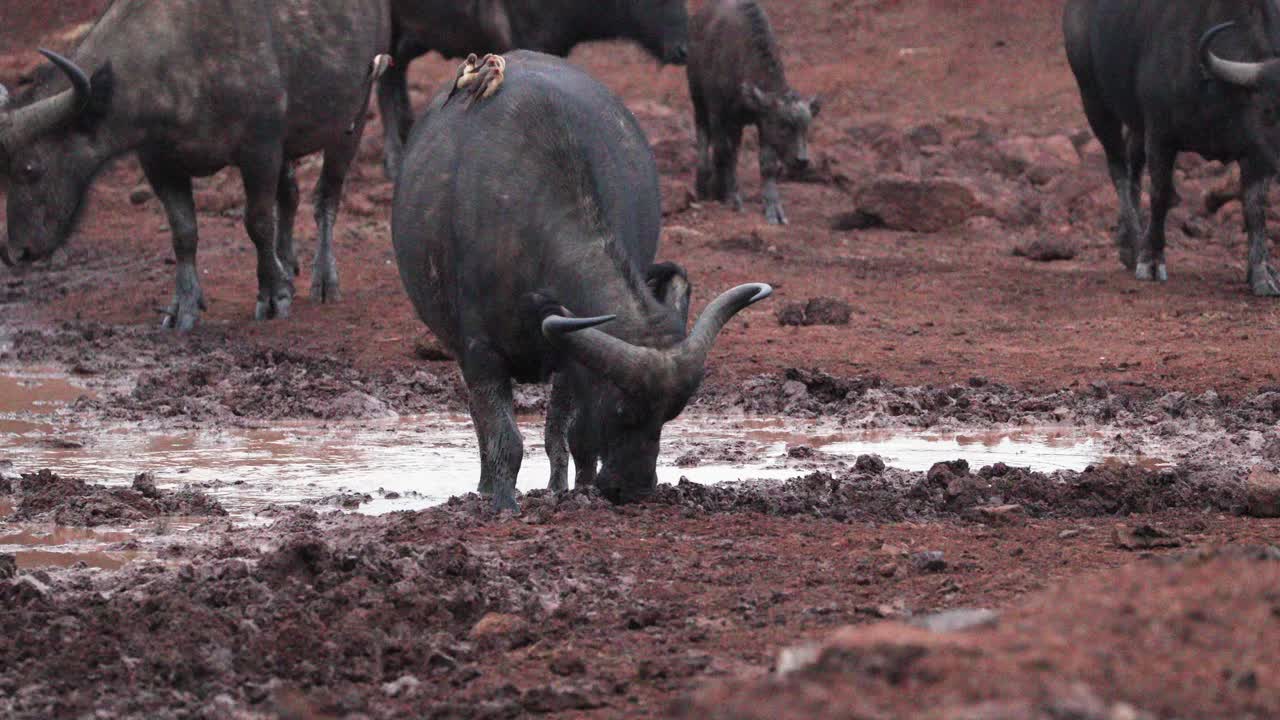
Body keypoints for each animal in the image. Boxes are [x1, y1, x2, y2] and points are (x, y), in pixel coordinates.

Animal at [0, 0, 391, 329]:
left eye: (31, 168)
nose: (16, 252)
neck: (175, 60)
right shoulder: (159, 163)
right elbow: (183, 233)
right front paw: (183, 305)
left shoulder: (260, 149)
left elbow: (257, 223)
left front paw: (273, 295)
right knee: (291, 194)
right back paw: (287, 263)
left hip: (352, 120)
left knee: (326, 196)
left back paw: (323, 279)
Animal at [392, 51, 770, 511]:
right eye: (623, 410)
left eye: (669, 415)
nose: (635, 488)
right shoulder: (479, 354)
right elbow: (504, 437)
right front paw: (504, 503)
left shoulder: (572, 359)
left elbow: (569, 435)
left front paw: (570, 490)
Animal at [1064, 0, 1280, 295]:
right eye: (1269, 109)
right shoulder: (1160, 135)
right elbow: (1161, 194)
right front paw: (1151, 260)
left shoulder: (1257, 154)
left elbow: (1255, 207)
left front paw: (1261, 272)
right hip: (1093, 99)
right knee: (1118, 169)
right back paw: (1134, 243)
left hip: (1135, 122)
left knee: (1133, 165)